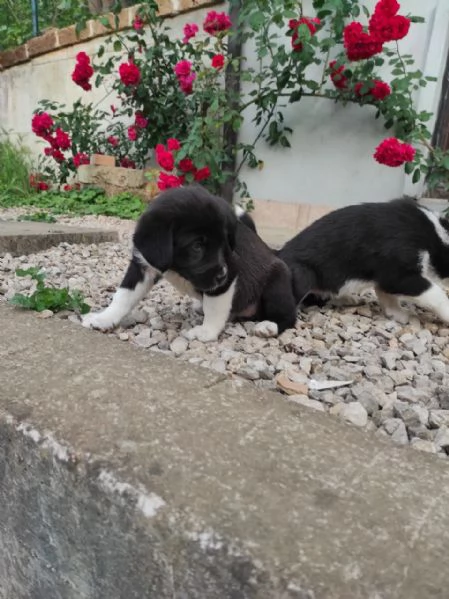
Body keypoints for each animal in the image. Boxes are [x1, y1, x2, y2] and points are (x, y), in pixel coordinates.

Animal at [82, 185, 298, 340]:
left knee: (289, 317)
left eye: (224, 243)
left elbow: (215, 307)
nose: (221, 275)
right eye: (196, 246)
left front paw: (207, 332)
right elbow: (123, 296)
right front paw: (104, 318)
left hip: (276, 284)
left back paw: (269, 326)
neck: (176, 268)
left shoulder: (231, 271)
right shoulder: (143, 266)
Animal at [278, 199, 449, 326]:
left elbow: (387, 296)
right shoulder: (399, 274)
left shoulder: (386, 278)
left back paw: (347, 299)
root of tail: (280, 252)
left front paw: (397, 314)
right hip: (303, 274)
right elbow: (435, 292)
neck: (436, 235)